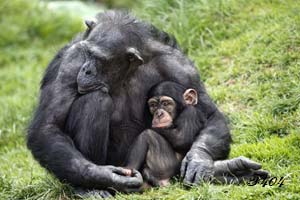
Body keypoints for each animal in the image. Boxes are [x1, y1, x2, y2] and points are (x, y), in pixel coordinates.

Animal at [27, 10, 268, 196]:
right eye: (88, 53)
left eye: (100, 59)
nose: (86, 70)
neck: (126, 71)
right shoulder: (71, 61)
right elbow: (48, 126)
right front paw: (104, 176)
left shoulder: (180, 66)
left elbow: (210, 115)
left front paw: (198, 161)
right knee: (96, 99)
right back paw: (91, 187)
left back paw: (231, 172)